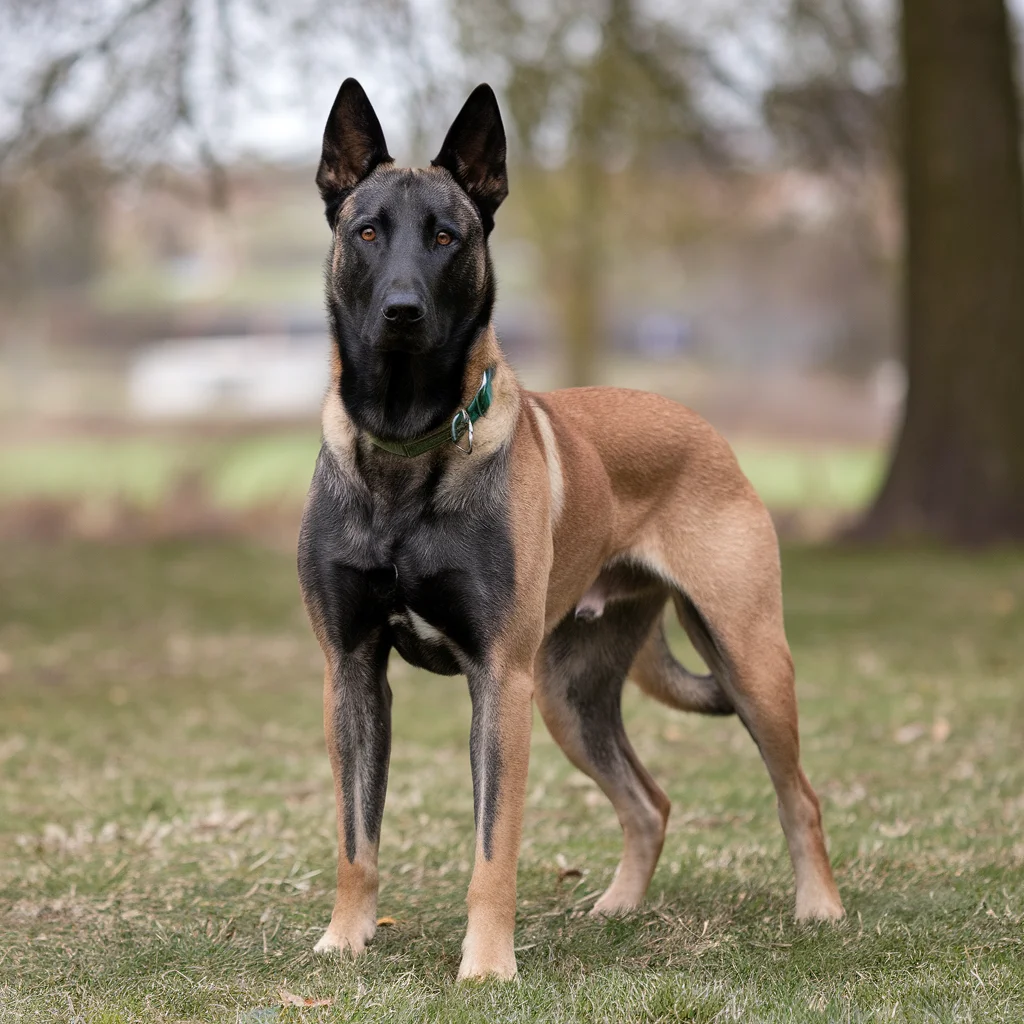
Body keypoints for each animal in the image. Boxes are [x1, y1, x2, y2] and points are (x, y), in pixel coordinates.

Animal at [296, 77, 839, 974]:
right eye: (367, 231)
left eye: (445, 236)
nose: (403, 313)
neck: (410, 445)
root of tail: (702, 427)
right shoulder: (351, 672)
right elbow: (355, 836)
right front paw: (346, 939)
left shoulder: (498, 683)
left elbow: (493, 848)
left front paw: (486, 967)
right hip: (571, 697)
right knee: (650, 801)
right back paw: (618, 905)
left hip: (749, 661)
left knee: (799, 794)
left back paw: (819, 907)